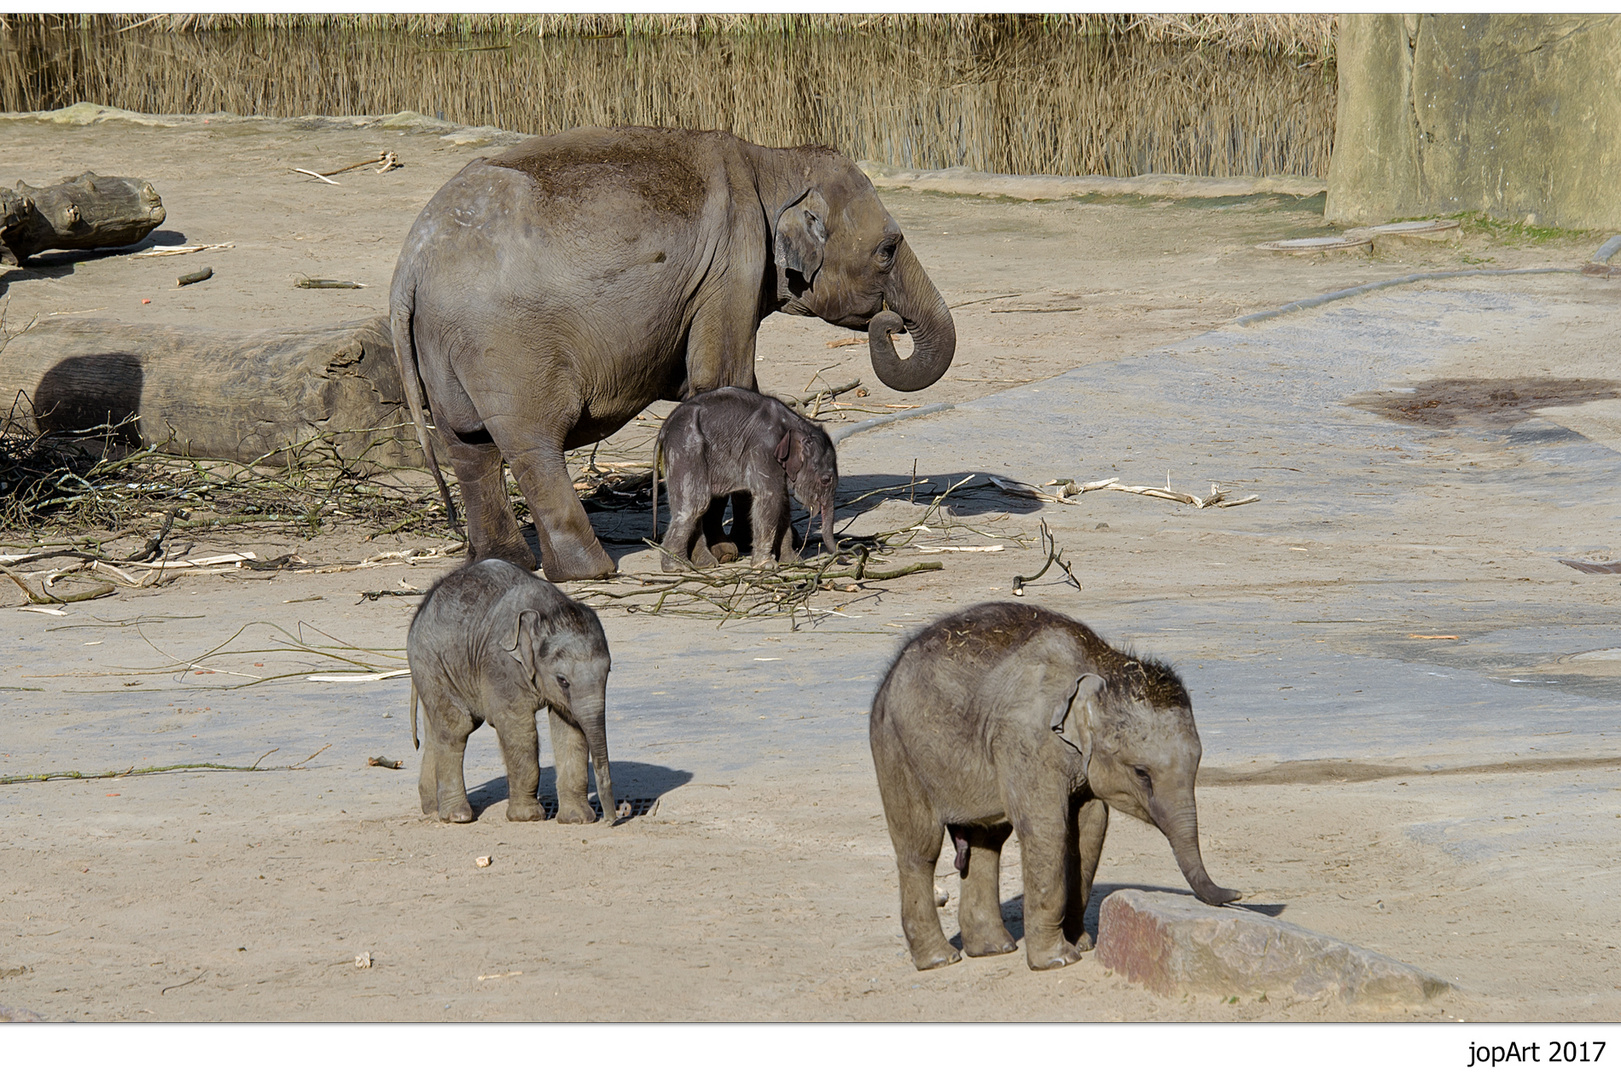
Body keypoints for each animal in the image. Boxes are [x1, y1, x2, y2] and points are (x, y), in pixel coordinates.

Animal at [408, 557, 615, 820]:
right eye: (563, 680)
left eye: (608, 672)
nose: (611, 820)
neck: (547, 611)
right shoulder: (500, 663)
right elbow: (518, 726)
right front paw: (528, 817)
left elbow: (569, 728)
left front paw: (577, 820)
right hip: (430, 662)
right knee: (456, 727)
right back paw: (457, 817)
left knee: (436, 728)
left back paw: (432, 809)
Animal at [651, 387, 842, 570]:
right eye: (826, 480)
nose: (843, 556)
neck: (795, 423)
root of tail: (664, 428)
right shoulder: (763, 449)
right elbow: (770, 498)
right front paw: (766, 566)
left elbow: (782, 502)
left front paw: (793, 562)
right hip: (687, 450)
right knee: (695, 504)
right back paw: (677, 567)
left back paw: (704, 564)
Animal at [875, 600, 1238, 972]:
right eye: (1141, 773)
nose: (1237, 894)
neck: (1100, 664)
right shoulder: (1026, 740)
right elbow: (1046, 829)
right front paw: (1059, 960)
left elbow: (1090, 828)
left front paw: (1083, 945)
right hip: (897, 751)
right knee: (920, 848)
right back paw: (940, 960)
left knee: (986, 841)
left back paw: (994, 949)